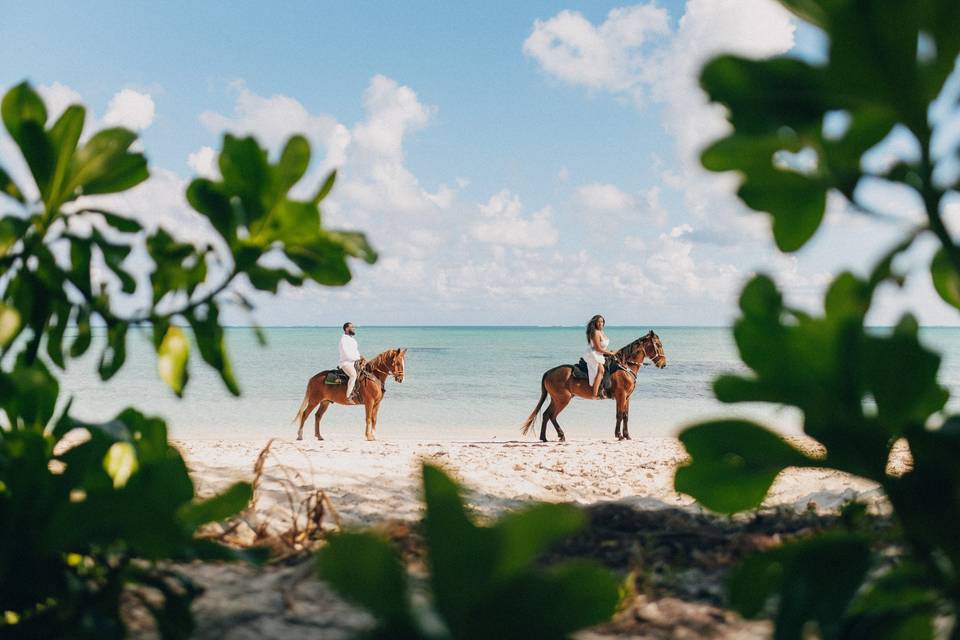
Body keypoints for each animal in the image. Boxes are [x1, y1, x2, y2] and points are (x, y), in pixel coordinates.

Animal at [520, 332, 664, 442]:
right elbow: (619, 415)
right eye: (659, 345)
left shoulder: (627, 397)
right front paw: (619, 435)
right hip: (562, 399)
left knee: (546, 415)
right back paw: (559, 435)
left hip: (557, 399)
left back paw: (545, 437)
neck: (625, 367)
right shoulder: (621, 396)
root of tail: (549, 372)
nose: (663, 364)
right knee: (551, 415)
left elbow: (625, 416)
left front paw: (627, 435)